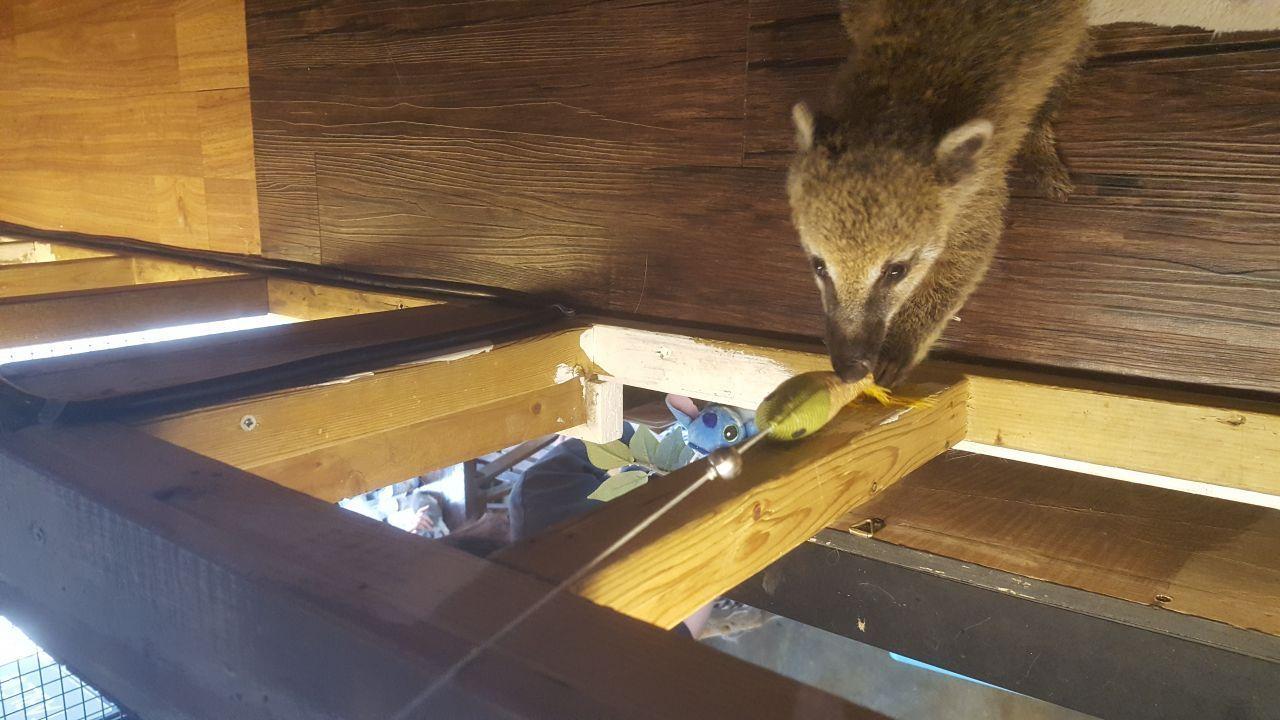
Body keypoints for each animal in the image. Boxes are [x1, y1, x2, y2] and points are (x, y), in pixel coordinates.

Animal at [788, 0, 1090, 387]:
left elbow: (970, 251)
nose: (848, 369)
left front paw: (903, 339)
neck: (893, 108)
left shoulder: (980, 182)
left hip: (1065, 34)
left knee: (1064, 67)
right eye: (819, 266)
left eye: (896, 271)